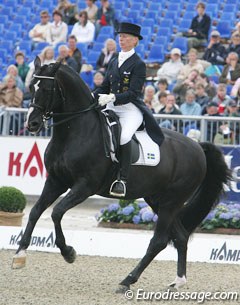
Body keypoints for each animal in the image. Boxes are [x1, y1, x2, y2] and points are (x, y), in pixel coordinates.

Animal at [13, 58, 231, 290]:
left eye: (46, 89)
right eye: (30, 87)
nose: (32, 124)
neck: (74, 131)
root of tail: (198, 147)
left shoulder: (84, 186)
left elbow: (56, 212)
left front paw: (68, 252)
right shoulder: (56, 181)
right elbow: (36, 211)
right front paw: (19, 255)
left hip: (172, 201)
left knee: (159, 241)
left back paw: (128, 280)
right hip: (158, 200)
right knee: (179, 236)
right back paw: (178, 281)